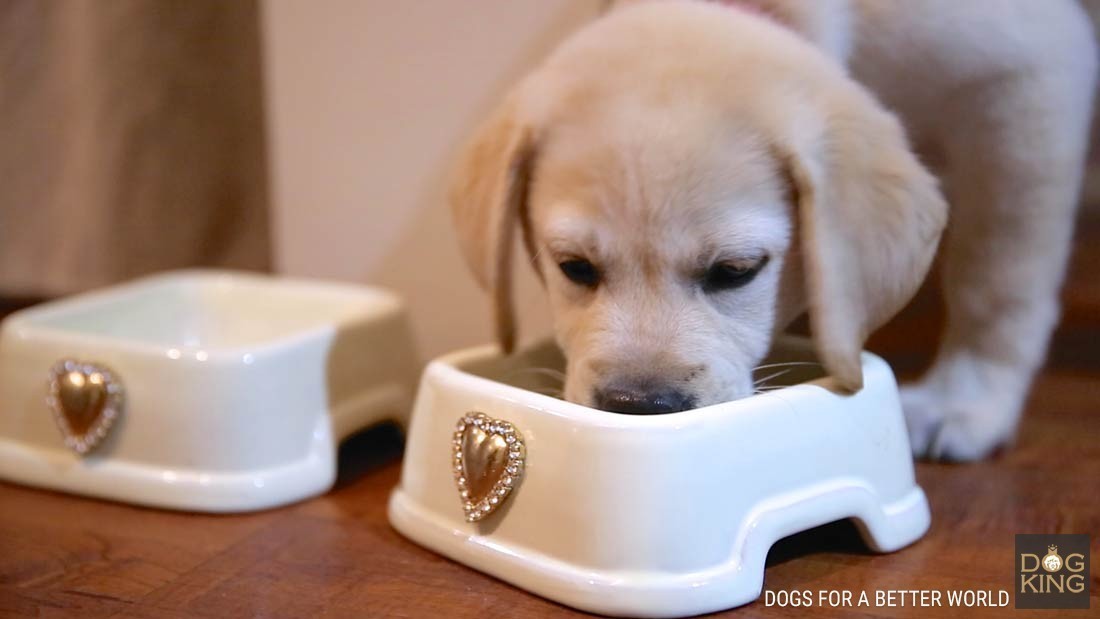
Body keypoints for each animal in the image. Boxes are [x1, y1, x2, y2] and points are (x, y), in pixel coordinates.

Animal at [451, 0, 1095, 459]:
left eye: (736, 271)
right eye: (575, 268)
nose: (637, 405)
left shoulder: (1025, 78)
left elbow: (995, 277)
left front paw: (966, 400)